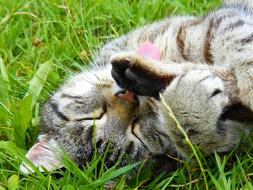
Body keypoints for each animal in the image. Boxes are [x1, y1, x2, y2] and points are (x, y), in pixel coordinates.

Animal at [20, 0, 253, 174]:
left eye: (93, 116)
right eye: (135, 130)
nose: (129, 98)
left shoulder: (214, 24)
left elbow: (240, 47)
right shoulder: (236, 134)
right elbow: (201, 141)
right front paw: (186, 104)